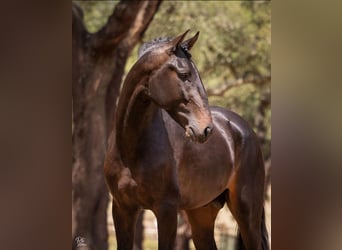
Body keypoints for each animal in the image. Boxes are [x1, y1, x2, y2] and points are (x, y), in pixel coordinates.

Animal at [104, 30, 270, 250]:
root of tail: (243, 128)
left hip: (247, 214)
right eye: (183, 74)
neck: (131, 149)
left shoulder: (166, 211)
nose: (206, 129)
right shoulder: (122, 209)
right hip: (202, 214)